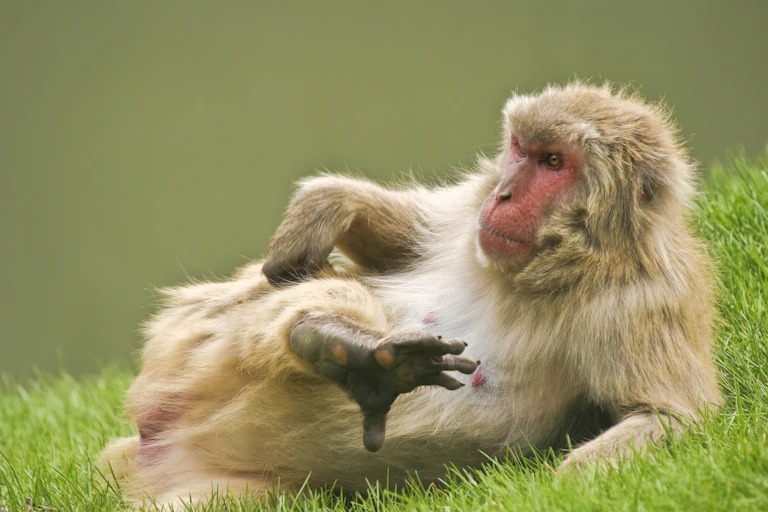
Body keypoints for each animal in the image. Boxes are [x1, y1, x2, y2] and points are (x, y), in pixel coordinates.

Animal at [99, 83, 721, 509]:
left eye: (553, 162)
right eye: (520, 149)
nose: (503, 193)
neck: (545, 270)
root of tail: (157, 435)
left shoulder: (647, 302)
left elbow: (671, 417)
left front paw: (559, 488)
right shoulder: (469, 219)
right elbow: (400, 245)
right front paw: (326, 204)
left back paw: (363, 365)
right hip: (188, 341)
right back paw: (344, 346)